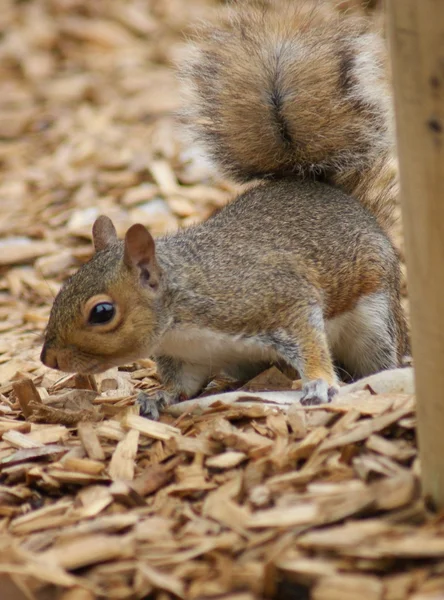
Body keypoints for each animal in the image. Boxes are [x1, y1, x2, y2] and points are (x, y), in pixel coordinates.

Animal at [40, 1, 408, 408]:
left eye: (102, 313)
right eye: (62, 288)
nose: (48, 358)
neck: (180, 318)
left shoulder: (276, 298)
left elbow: (309, 340)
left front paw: (318, 382)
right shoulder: (190, 357)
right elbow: (183, 384)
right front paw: (160, 396)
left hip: (375, 323)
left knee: (379, 356)